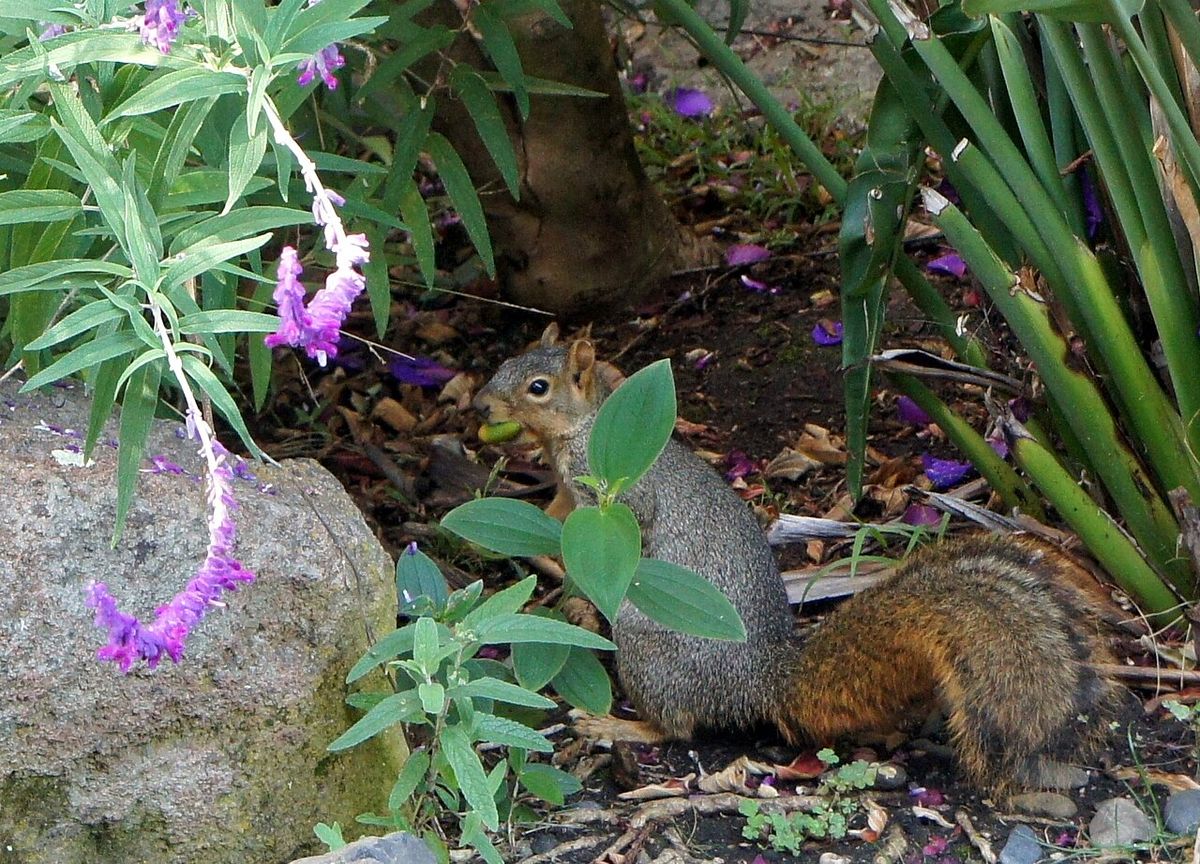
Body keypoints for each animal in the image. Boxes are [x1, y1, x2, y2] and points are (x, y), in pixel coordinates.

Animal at [473, 325, 1116, 794]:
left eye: (537, 387)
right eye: (506, 362)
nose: (481, 404)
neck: (582, 431)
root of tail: (759, 684)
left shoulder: (618, 491)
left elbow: (622, 530)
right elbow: (551, 520)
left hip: (648, 645)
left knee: (674, 727)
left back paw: (616, 721)